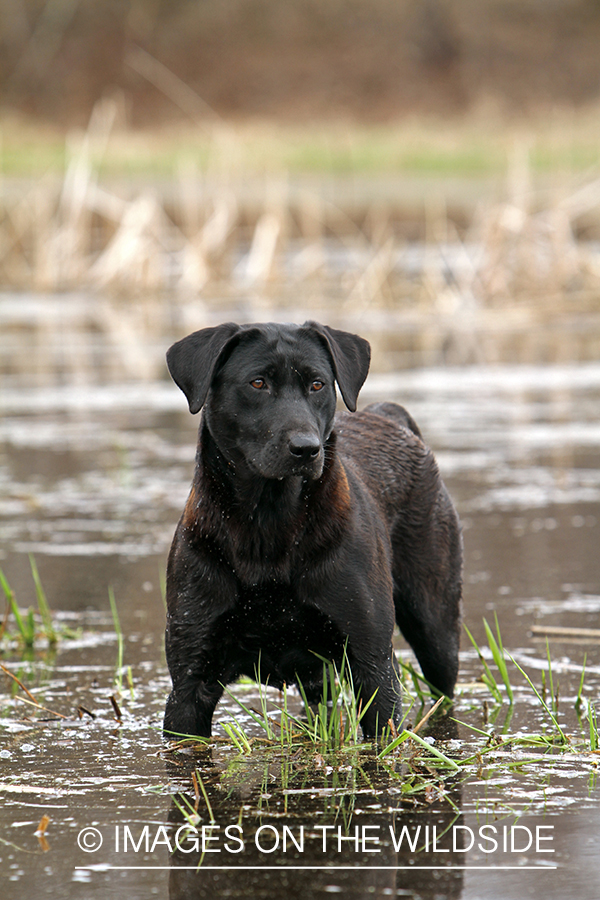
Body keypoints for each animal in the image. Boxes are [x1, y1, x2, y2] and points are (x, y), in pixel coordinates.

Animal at [162, 324, 462, 740]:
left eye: (318, 384)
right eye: (258, 383)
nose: (306, 448)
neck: (268, 528)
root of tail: (389, 416)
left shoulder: (373, 667)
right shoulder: (189, 683)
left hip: (436, 629)